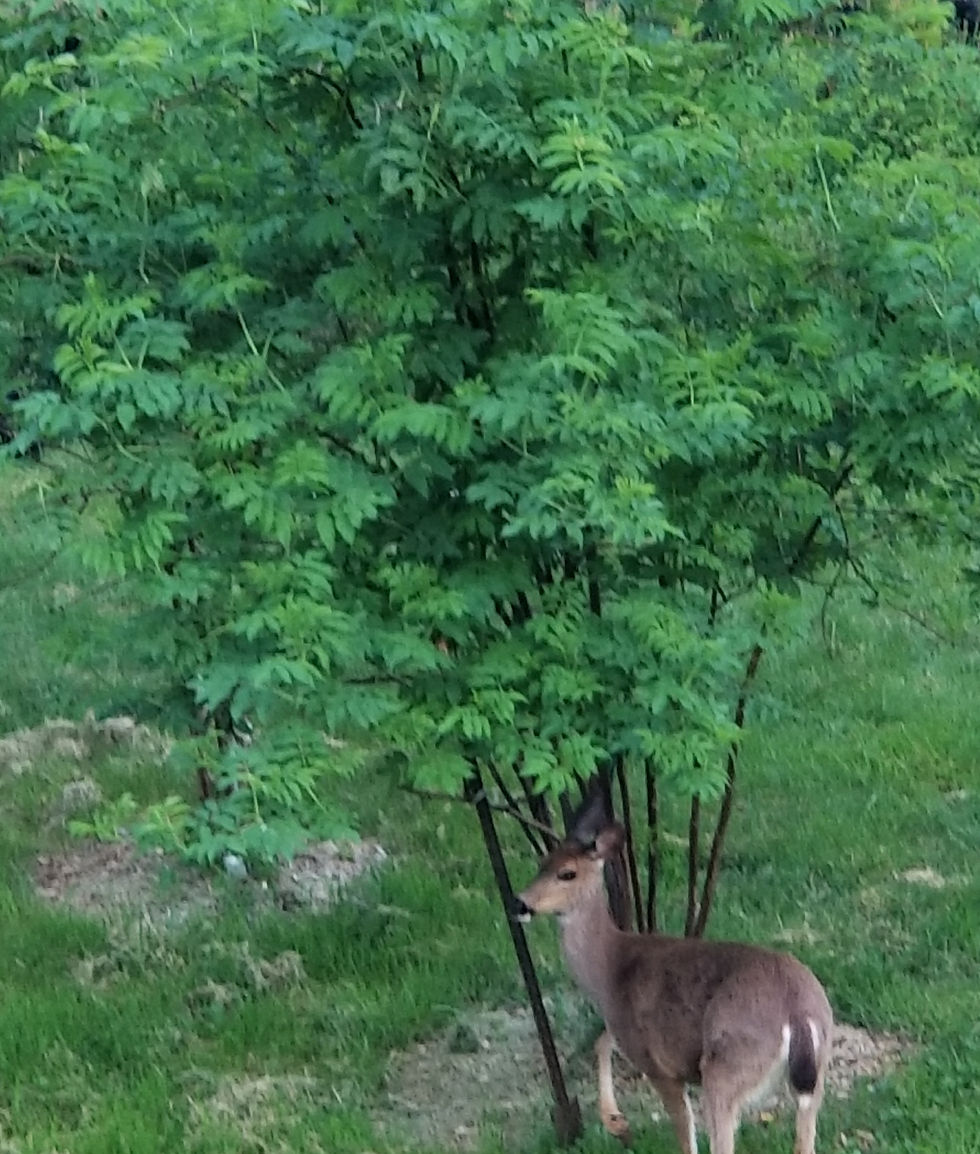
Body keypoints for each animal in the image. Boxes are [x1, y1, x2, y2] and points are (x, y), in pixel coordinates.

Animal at [514, 793, 833, 1154]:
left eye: (567, 873)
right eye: (542, 863)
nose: (519, 903)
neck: (609, 969)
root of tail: (799, 1014)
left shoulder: (658, 1063)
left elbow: (684, 1132)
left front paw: (616, 1121)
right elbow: (600, 1040)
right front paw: (616, 1122)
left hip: (726, 1067)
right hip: (816, 1074)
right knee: (805, 1138)